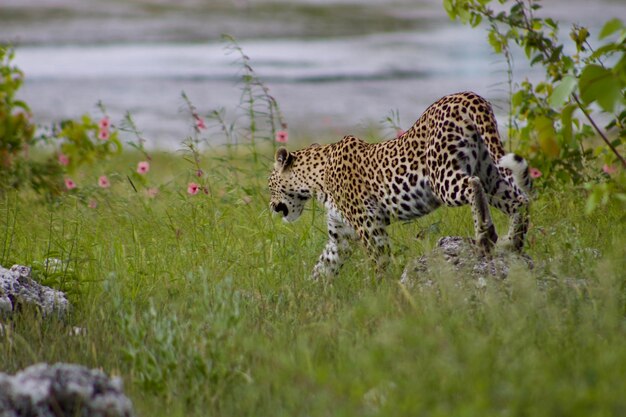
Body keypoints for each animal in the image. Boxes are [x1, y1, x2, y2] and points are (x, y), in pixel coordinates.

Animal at [266, 92, 528, 280]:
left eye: (269, 185)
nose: (270, 205)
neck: (317, 179)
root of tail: (468, 96)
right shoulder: (339, 237)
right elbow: (323, 266)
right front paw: (310, 295)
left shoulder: (369, 225)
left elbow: (379, 261)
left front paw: (382, 291)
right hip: (490, 172)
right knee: (520, 200)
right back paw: (512, 243)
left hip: (443, 177)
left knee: (473, 185)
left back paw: (485, 235)